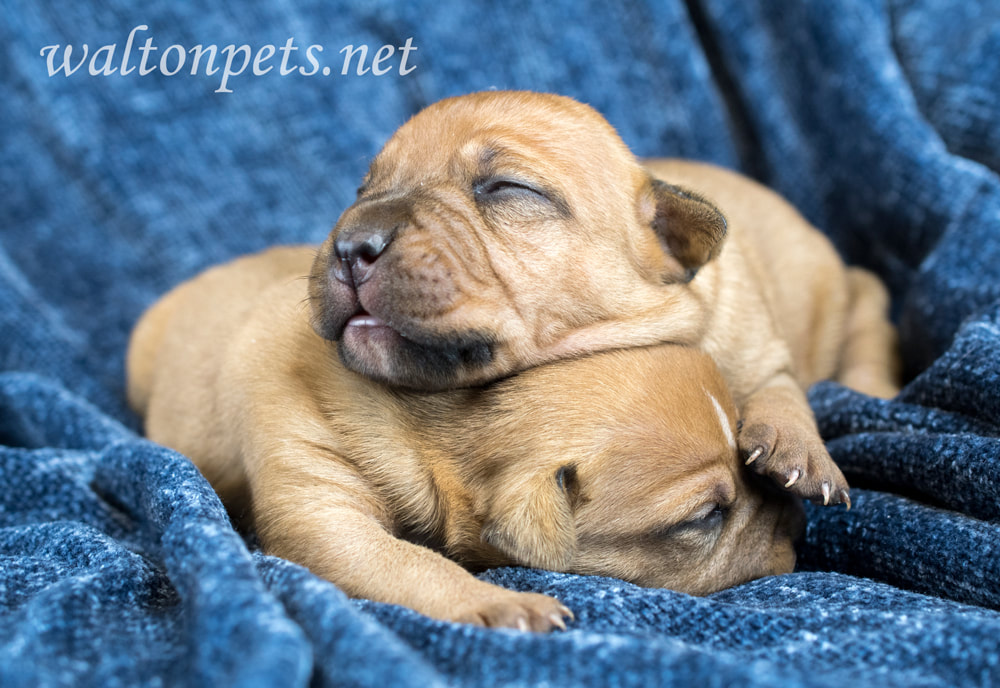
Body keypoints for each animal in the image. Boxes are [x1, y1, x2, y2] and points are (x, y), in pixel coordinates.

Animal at [125, 245, 804, 632]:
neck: (434, 420)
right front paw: (500, 604)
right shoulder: (318, 513)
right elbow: (405, 560)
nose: (794, 513)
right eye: (706, 517)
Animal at [304, 90, 900, 510]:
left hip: (861, 296)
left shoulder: (763, 352)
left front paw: (799, 450)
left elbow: (783, 391)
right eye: (362, 190)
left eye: (507, 188)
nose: (350, 245)